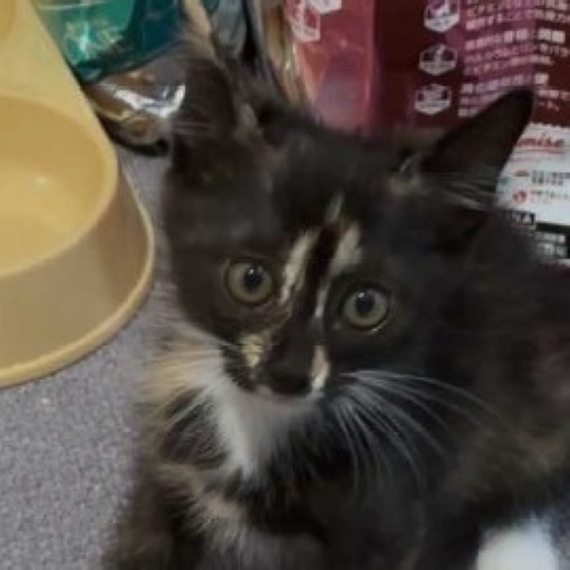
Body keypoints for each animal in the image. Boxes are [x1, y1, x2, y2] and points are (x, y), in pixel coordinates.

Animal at [108, 35, 570, 570]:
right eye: (250, 279)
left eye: (365, 306)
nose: (288, 373)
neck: (260, 422)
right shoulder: (169, 469)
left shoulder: (390, 511)